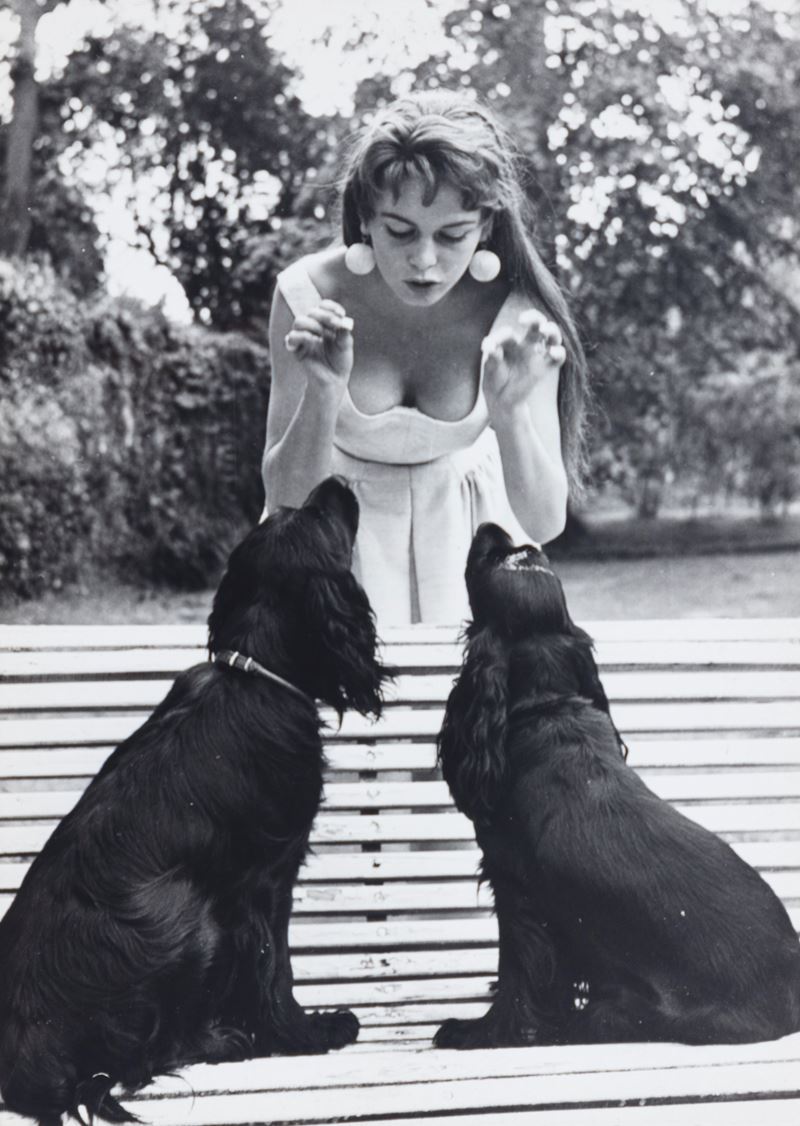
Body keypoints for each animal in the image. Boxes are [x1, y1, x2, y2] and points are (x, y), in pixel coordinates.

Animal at [0, 477, 392, 1126]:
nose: (337, 481)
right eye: (319, 516)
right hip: (189, 914)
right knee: (150, 1055)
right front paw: (308, 1033)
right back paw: (224, 1041)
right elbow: (275, 970)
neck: (254, 674)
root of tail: (26, 1053)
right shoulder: (266, 881)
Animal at [435, 521, 800, 1049]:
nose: (492, 526)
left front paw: (482, 1031)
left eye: (493, 559)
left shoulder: (517, 891)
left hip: (627, 1011)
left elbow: (517, 976)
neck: (548, 706)